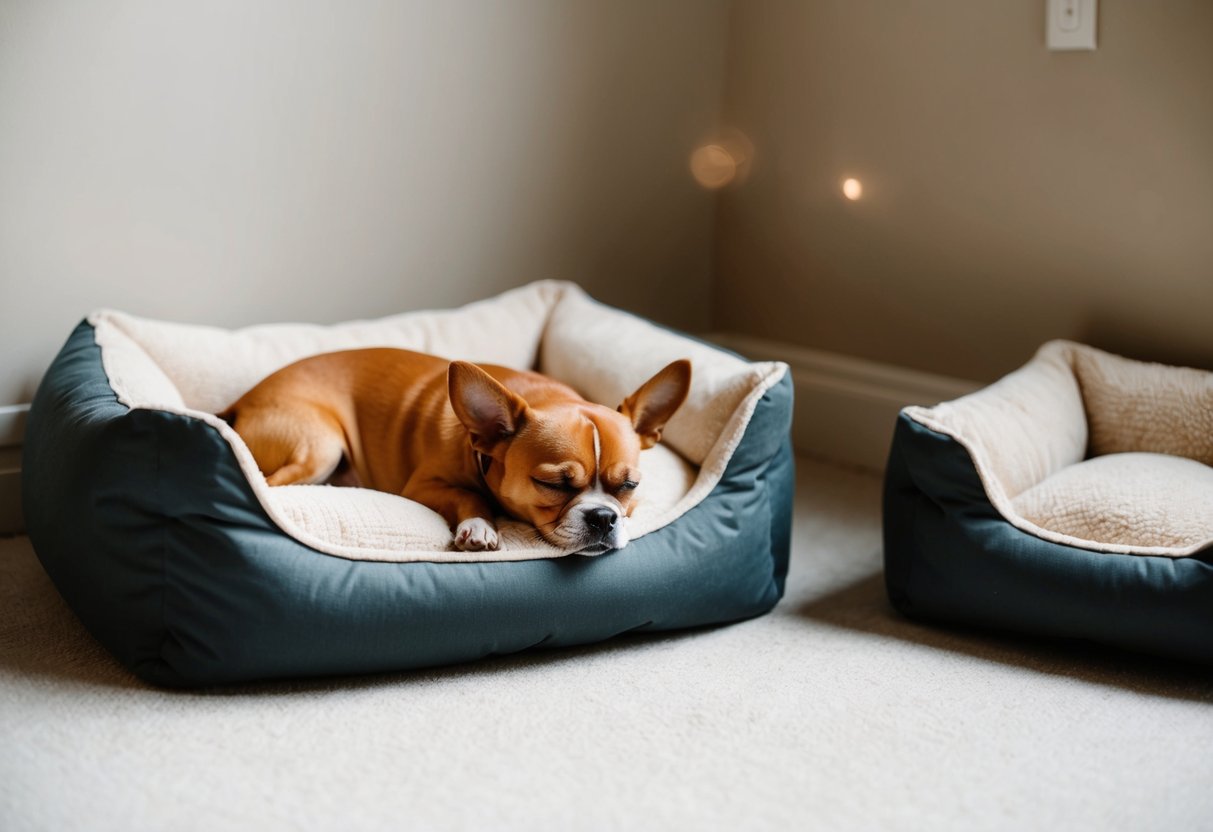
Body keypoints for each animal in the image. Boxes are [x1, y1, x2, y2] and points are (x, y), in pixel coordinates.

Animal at [220, 349, 693, 553]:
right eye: (552, 484)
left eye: (629, 486)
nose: (603, 518)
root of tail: (240, 403)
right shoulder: (423, 486)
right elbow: (469, 494)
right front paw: (480, 526)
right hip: (321, 447)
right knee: (270, 483)